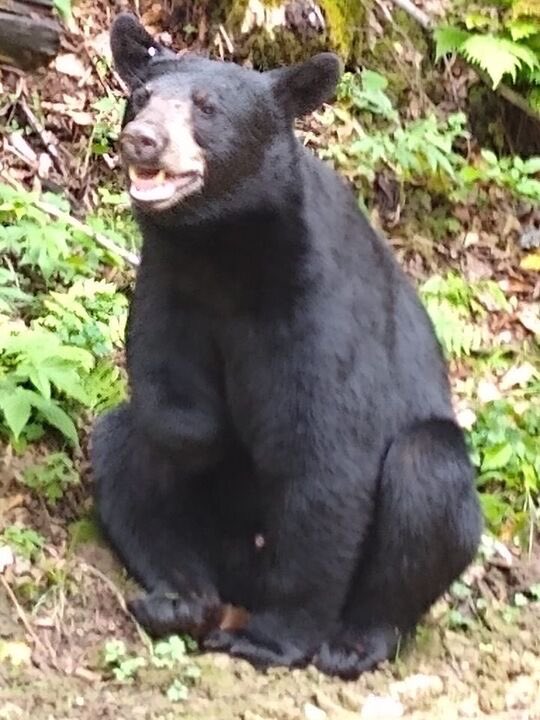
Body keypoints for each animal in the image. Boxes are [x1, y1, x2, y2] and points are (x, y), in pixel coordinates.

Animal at [90, 12, 482, 679]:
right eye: (139, 98)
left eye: (206, 106)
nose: (141, 140)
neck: (224, 249)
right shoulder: (169, 281)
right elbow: (165, 393)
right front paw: (206, 437)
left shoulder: (318, 305)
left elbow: (323, 456)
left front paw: (274, 640)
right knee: (117, 448)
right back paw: (180, 600)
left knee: (425, 473)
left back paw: (352, 640)